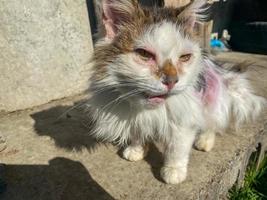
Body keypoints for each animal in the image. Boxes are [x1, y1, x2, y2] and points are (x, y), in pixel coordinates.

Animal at [88, 0, 266, 184]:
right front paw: (136, 150)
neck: (149, 109)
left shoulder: (184, 121)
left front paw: (173, 171)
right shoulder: (135, 117)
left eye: (185, 57)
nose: (172, 81)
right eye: (144, 54)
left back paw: (204, 141)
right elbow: (138, 131)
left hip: (212, 98)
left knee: (212, 124)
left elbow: (177, 149)